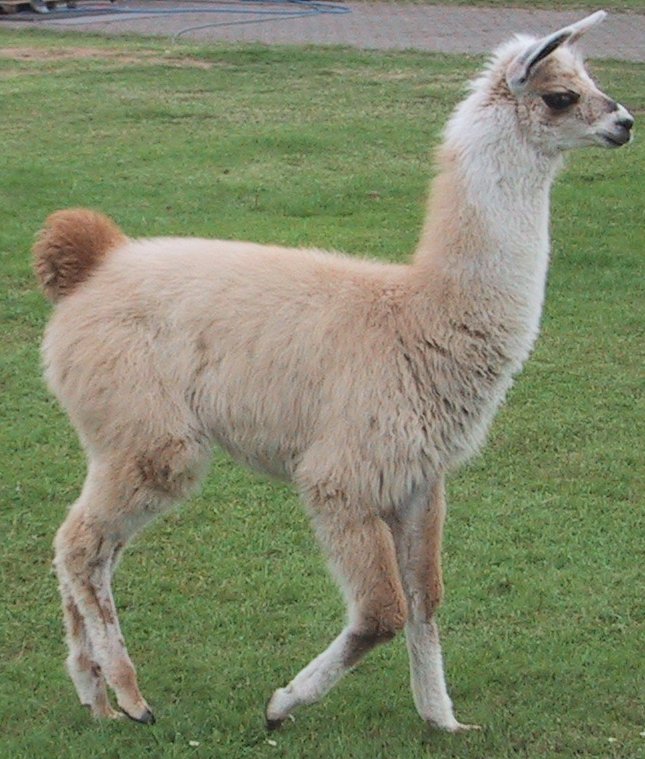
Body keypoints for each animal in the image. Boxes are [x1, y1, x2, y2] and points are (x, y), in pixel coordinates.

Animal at [34, 10, 633, 731]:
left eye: (591, 81)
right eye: (561, 96)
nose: (626, 122)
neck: (417, 316)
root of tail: (93, 265)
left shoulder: (419, 478)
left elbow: (427, 597)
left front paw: (442, 718)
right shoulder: (342, 477)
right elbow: (381, 611)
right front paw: (281, 703)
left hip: (122, 440)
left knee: (90, 548)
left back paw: (94, 693)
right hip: (150, 434)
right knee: (80, 544)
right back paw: (131, 695)